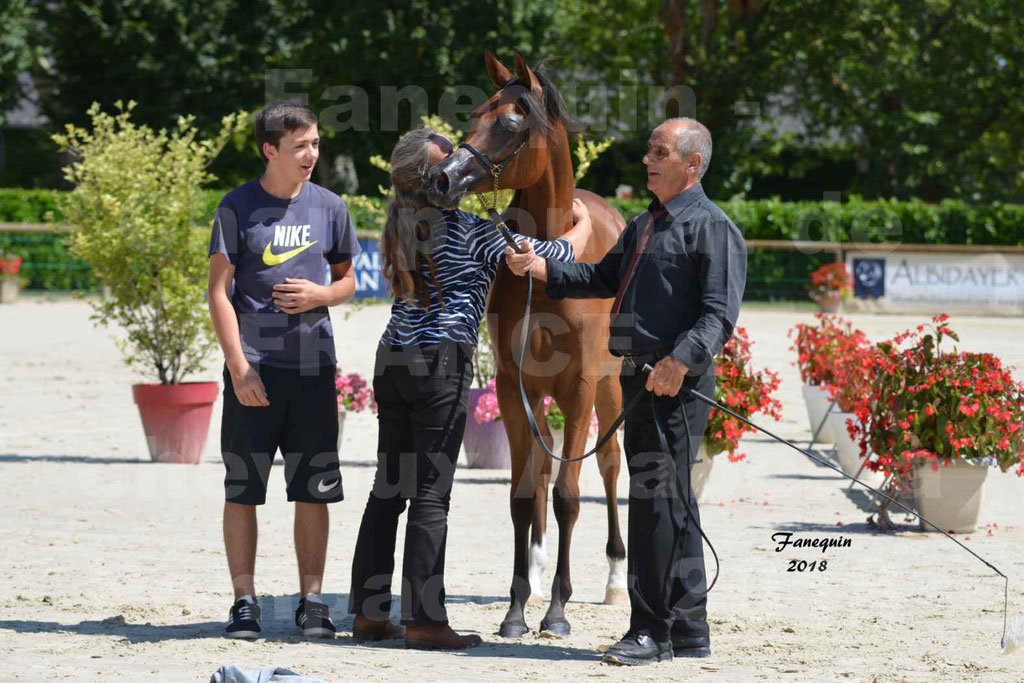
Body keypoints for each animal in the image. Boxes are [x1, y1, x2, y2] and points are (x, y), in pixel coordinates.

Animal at [428, 50, 626, 638]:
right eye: (475, 115)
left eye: (512, 123)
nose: (442, 179)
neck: (547, 261)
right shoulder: (514, 391)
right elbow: (522, 494)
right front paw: (517, 609)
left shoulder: (579, 388)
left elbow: (568, 496)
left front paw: (558, 613)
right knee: (538, 474)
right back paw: (535, 577)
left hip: (611, 389)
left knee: (609, 465)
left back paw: (614, 580)